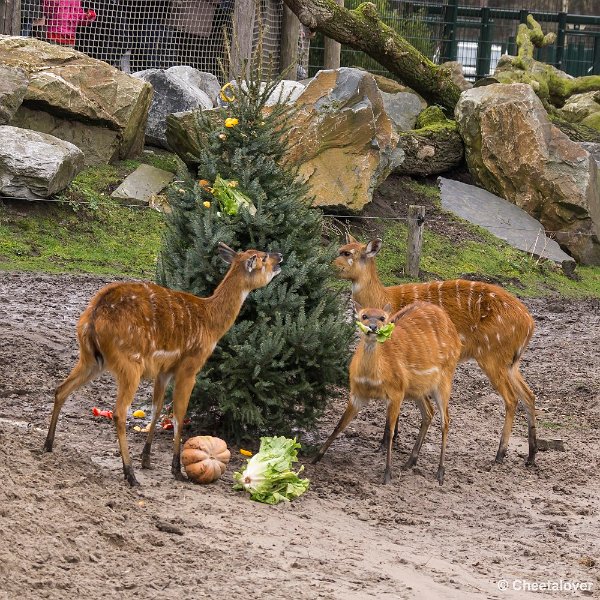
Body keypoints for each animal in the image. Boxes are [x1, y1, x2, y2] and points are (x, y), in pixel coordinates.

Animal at [44, 241, 284, 486]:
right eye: (264, 257)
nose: (280, 256)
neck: (210, 322)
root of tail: (92, 317)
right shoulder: (190, 366)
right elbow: (179, 414)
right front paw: (177, 469)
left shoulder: (164, 370)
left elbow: (156, 409)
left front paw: (147, 460)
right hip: (130, 363)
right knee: (119, 412)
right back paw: (130, 475)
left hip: (90, 358)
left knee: (61, 389)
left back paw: (48, 445)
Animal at [312, 302, 462, 486]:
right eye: (364, 316)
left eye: (382, 317)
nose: (373, 327)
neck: (374, 376)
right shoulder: (357, 393)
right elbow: (340, 424)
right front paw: (316, 458)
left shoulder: (396, 393)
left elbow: (390, 432)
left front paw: (387, 474)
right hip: (416, 389)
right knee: (429, 412)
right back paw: (410, 462)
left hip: (444, 380)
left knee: (446, 420)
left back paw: (440, 473)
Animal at [336, 233, 536, 464]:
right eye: (341, 248)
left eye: (347, 253)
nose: (330, 264)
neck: (384, 299)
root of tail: (529, 323)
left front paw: (385, 443)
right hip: (511, 362)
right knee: (529, 395)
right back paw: (531, 456)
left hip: (492, 356)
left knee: (512, 399)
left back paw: (500, 454)